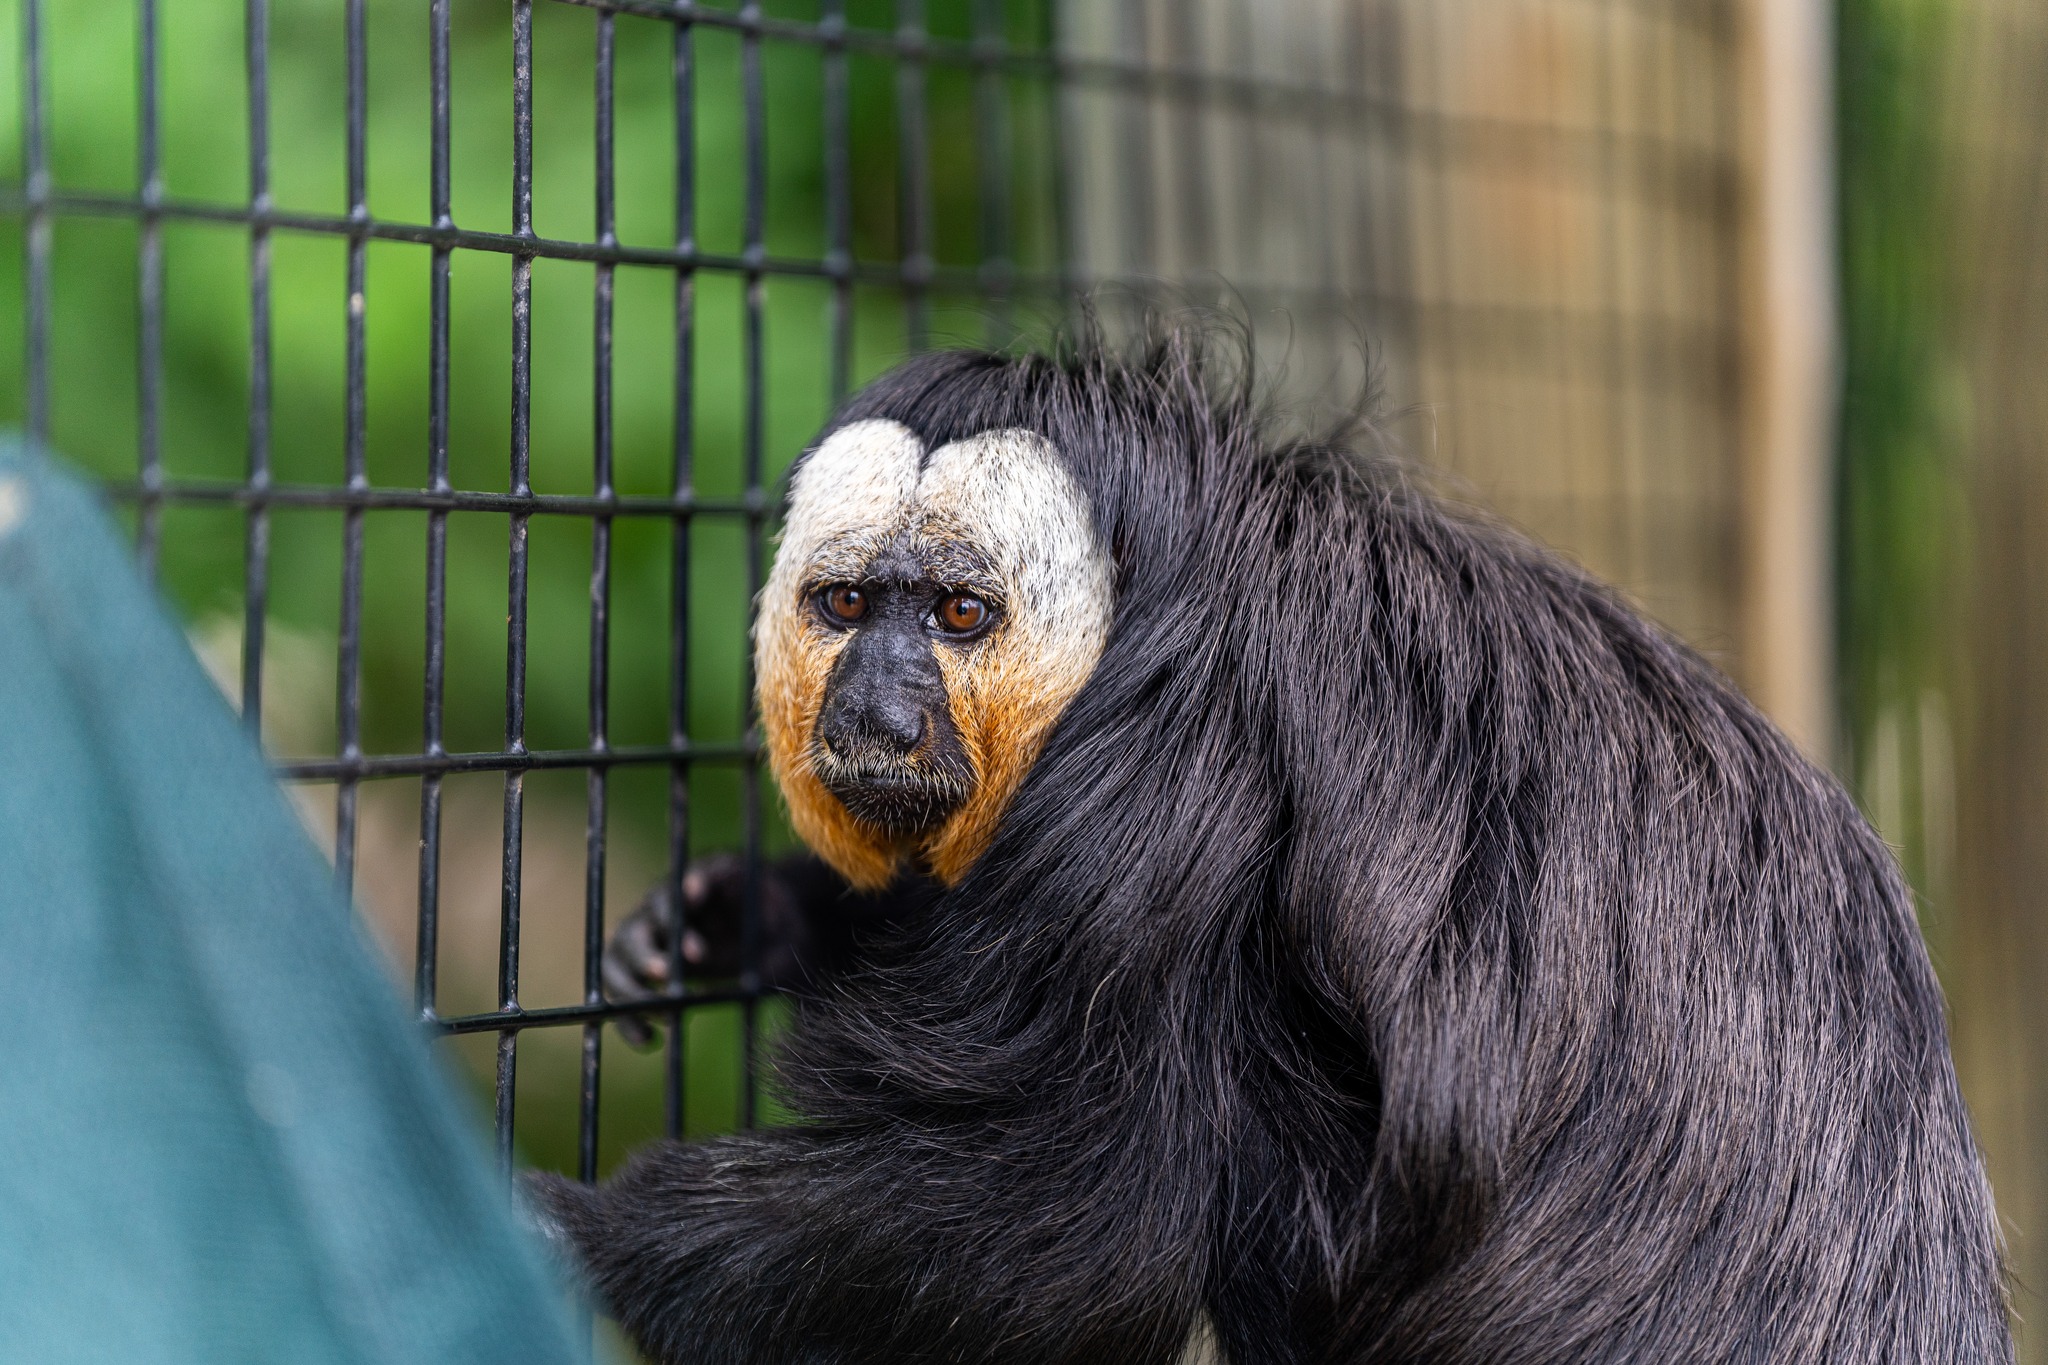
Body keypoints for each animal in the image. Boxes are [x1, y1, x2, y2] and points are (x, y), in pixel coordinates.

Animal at [532, 331, 2015, 1365]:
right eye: (844, 606)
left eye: (957, 614)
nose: (877, 716)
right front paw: (734, 919)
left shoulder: (1173, 790)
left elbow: (1078, 1221)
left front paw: (577, 1240)